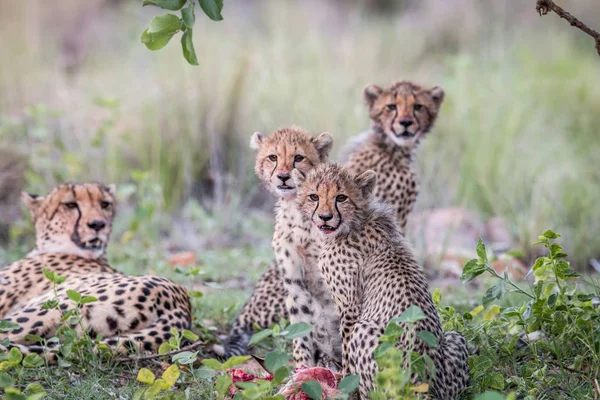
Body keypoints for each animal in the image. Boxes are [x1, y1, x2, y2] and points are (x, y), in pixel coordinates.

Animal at [292, 163, 472, 400]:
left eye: (341, 197)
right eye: (314, 196)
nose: (324, 217)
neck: (356, 220)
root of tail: (423, 386)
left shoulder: (350, 307)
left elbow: (346, 351)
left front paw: (344, 385)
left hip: (365, 331)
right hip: (454, 339)